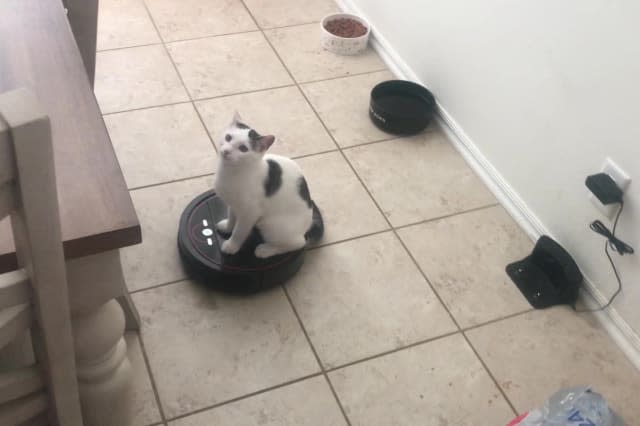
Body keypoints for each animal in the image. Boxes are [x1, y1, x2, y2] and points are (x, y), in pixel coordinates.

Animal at [215, 113, 324, 258]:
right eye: (228, 137)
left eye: (243, 149)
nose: (226, 151)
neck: (231, 172)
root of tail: (308, 224)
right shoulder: (233, 204)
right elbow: (232, 217)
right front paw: (227, 227)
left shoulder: (249, 214)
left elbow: (239, 232)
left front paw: (232, 246)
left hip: (271, 225)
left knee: (299, 243)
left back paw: (266, 250)